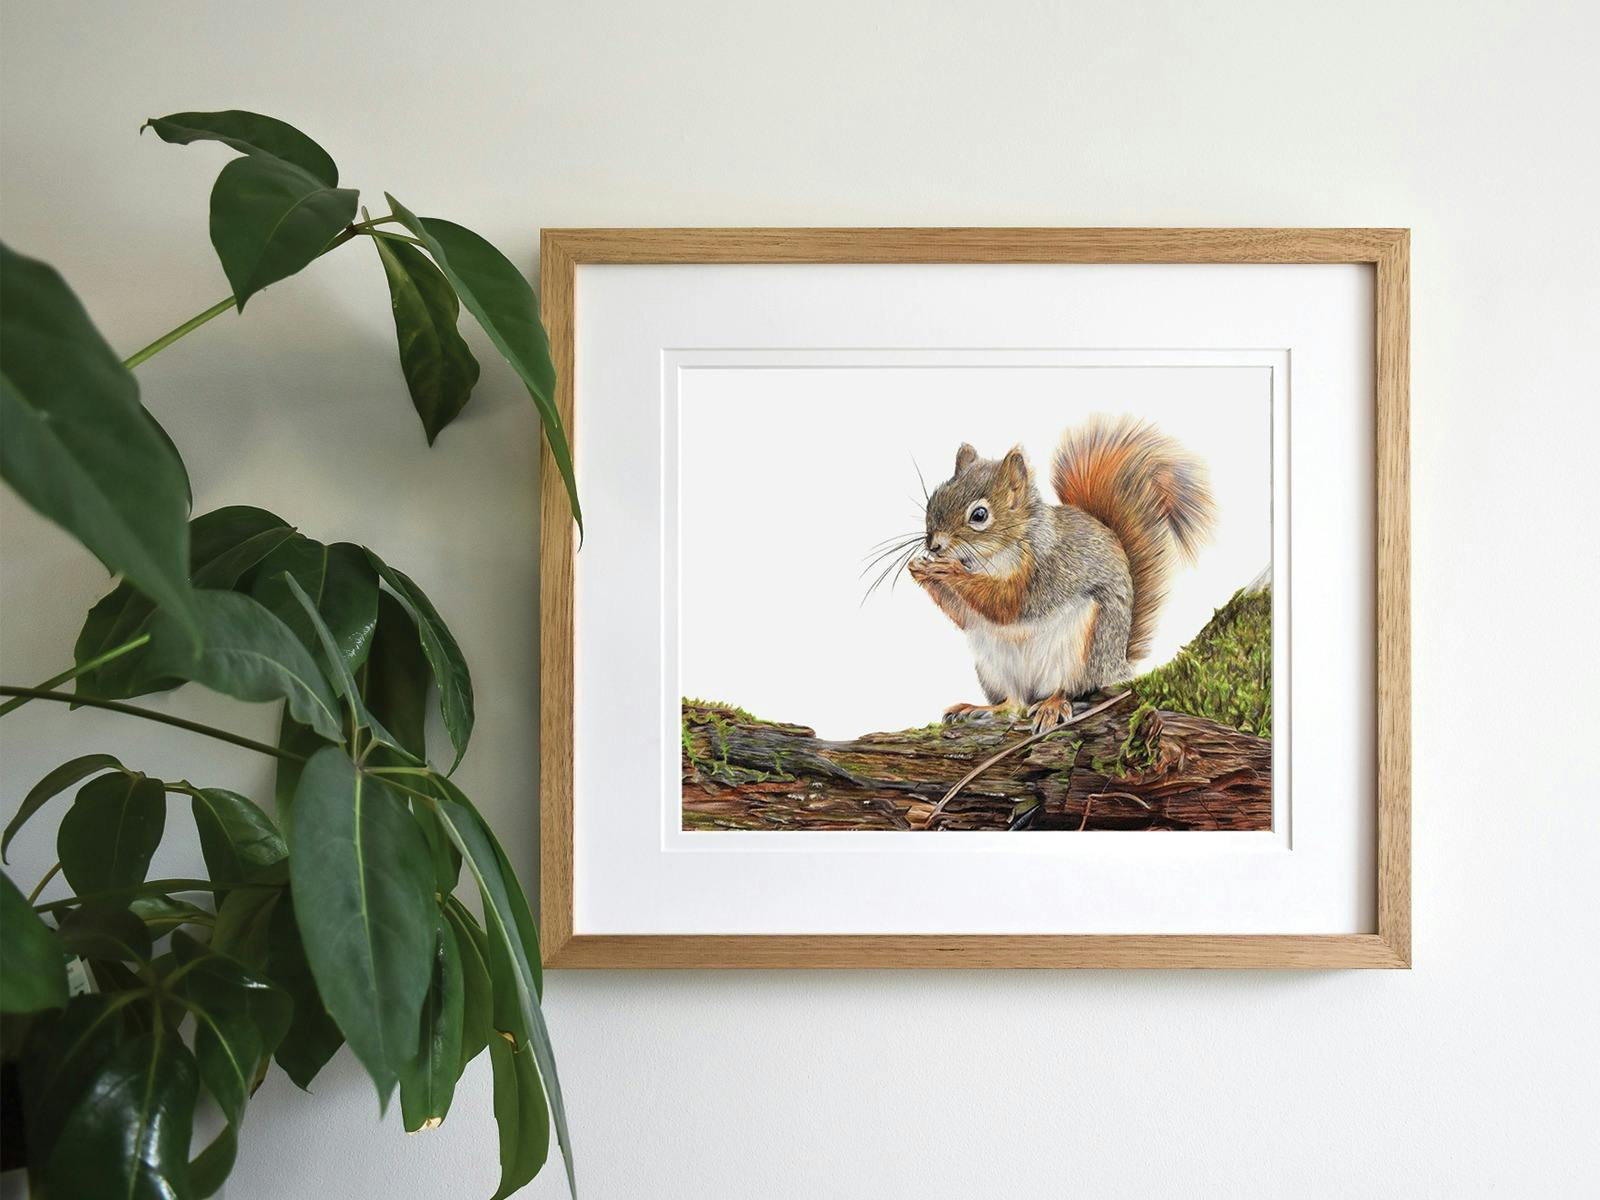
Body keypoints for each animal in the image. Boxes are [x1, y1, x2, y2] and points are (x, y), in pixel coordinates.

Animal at [907, 415, 1216, 733]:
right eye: (934, 498)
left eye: (979, 515)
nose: (934, 545)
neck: (989, 557)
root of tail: (1117, 665)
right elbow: (964, 614)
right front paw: (920, 569)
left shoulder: (1045, 571)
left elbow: (1006, 603)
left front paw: (948, 570)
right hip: (993, 667)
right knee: (1014, 703)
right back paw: (981, 708)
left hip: (1083, 650)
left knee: (1067, 688)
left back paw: (1052, 705)